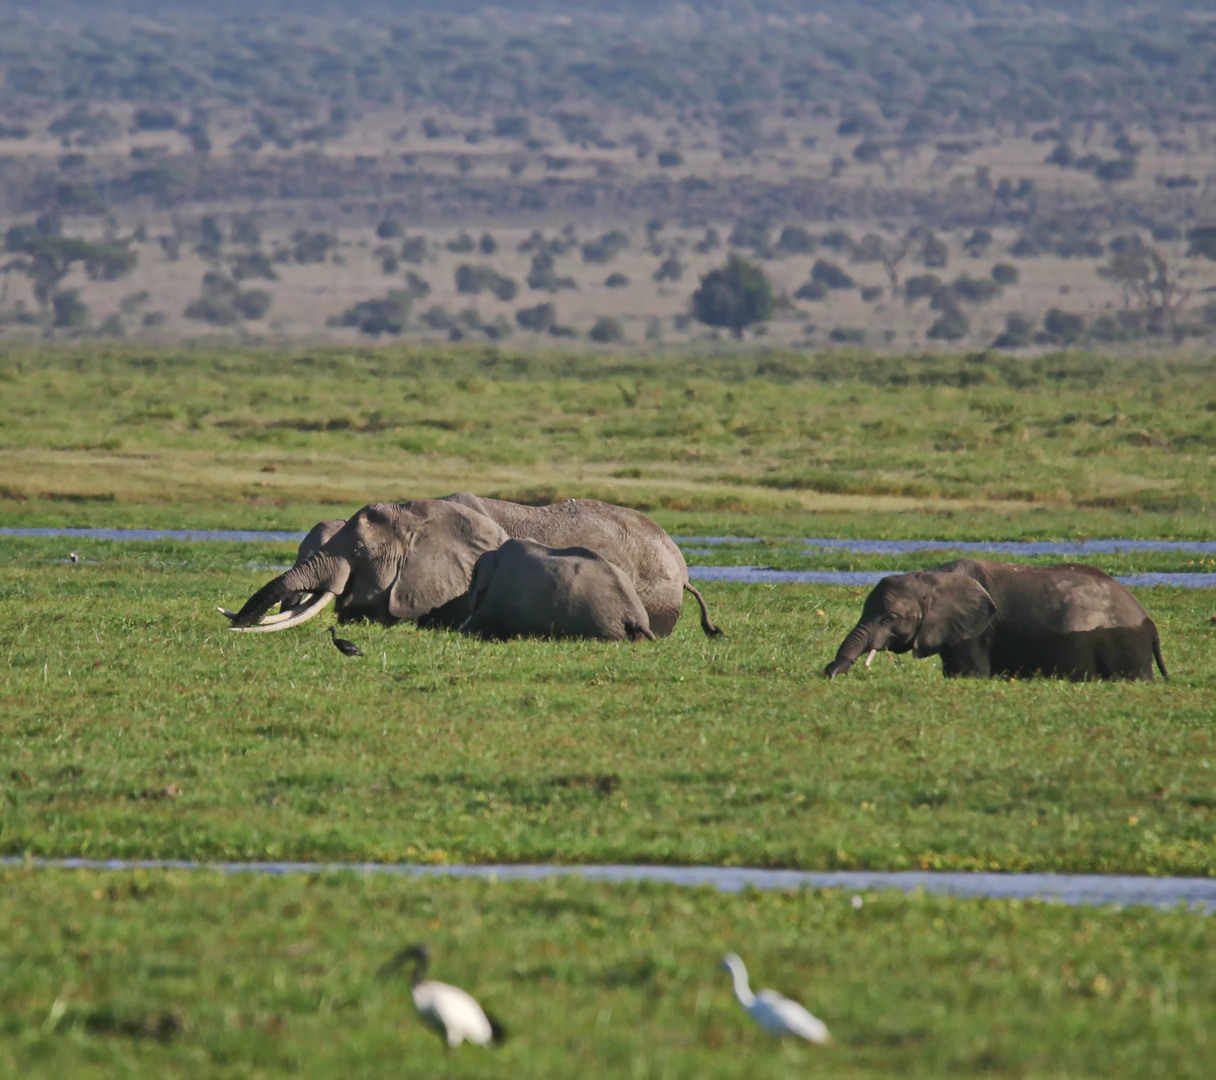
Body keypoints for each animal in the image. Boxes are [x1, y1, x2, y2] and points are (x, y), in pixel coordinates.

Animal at [826, 561, 1167, 681]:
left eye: (890, 618)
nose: (827, 672)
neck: (932, 576)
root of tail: (1149, 623)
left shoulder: (978, 631)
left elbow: (970, 674)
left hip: (1124, 644)